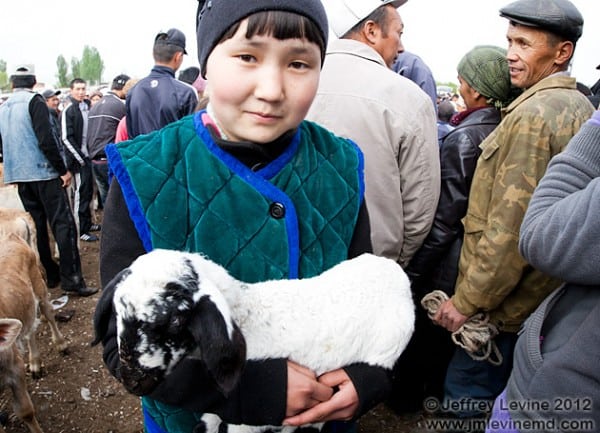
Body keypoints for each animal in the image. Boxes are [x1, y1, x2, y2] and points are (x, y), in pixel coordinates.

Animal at [106, 250, 412, 432]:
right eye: (118, 313)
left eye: (176, 321)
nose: (131, 380)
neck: (245, 312)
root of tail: (397, 274)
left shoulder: (248, 424)